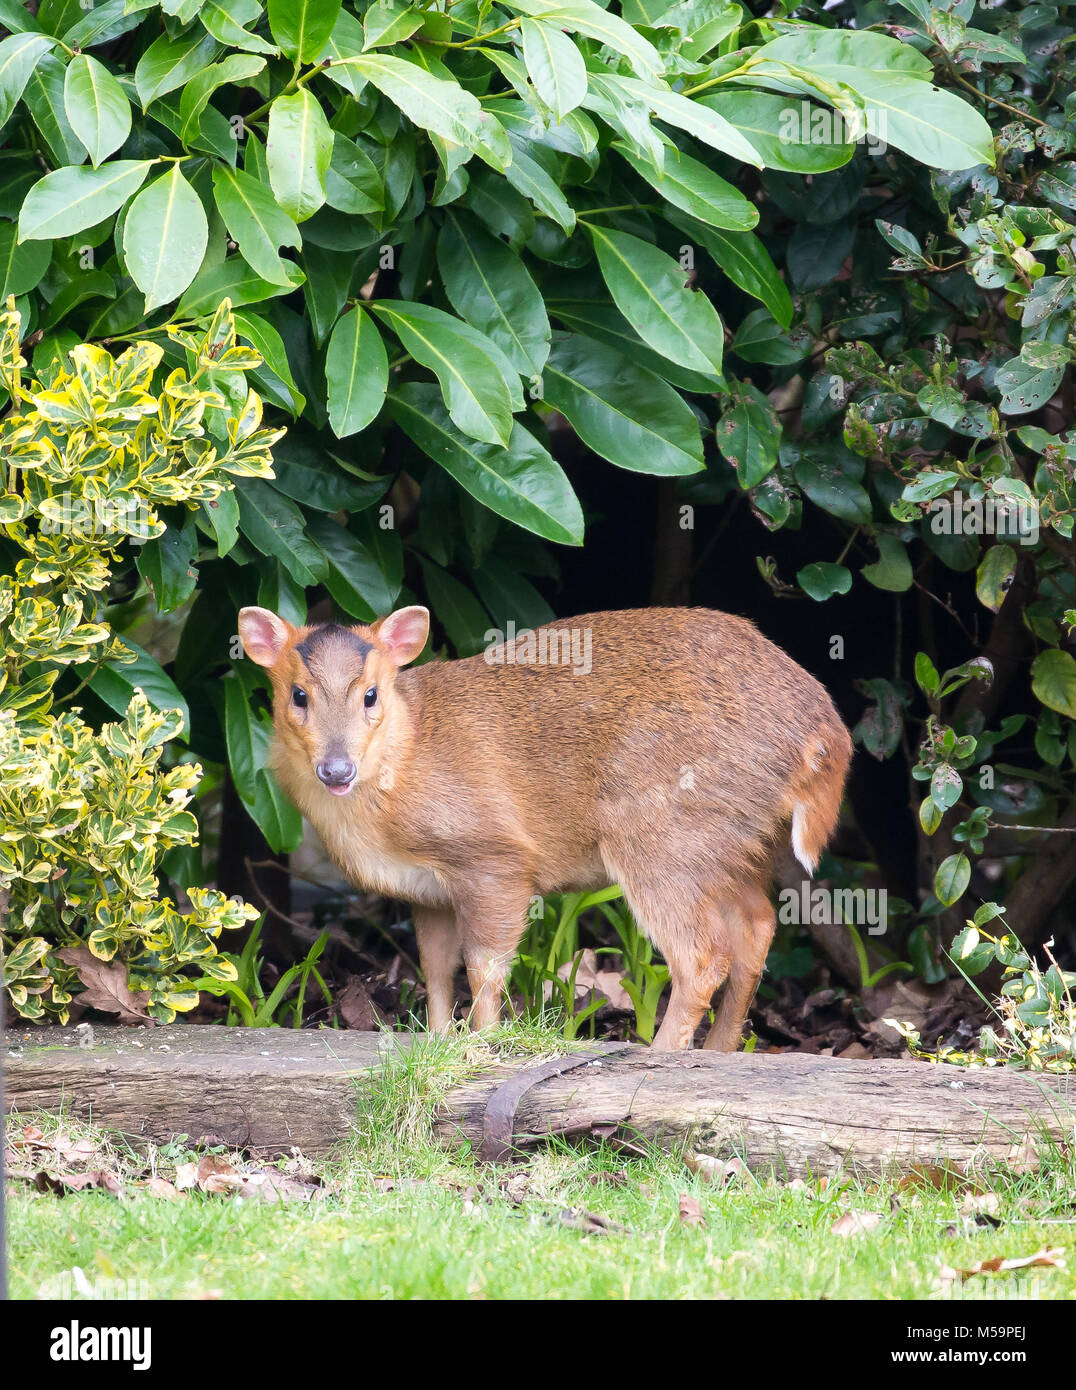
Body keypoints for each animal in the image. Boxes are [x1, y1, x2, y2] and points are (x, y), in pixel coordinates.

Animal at [236, 603, 850, 1045]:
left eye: (370, 694)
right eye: (298, 695)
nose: (336, 769)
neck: (404, 761)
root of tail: (826, 734)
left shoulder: (494, 856)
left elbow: (484, 969)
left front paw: (482, 1044)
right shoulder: (428, 891)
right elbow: (434, 969)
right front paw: (437, 1040)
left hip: (661, 831)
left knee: (703, 955)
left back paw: (659, 1054)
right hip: (734, 841)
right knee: (758, 925)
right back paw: (720, 1051)